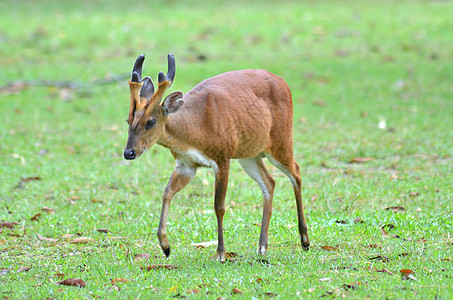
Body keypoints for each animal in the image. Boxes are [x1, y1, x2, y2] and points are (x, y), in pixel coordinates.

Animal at [122, 54, 308, 260]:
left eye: (151, 122)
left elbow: (219, 205)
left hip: (281, 139)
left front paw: (221, 253)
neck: (195, 132)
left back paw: (304, 240)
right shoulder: (186, 165)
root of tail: (283, 83)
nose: (129, 153)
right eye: (128, 120)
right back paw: (262, 246)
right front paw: (165, 246)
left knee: (296, 172)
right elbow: (167, 193)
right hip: (248, 153)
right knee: (269, 182)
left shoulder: (222, 157)